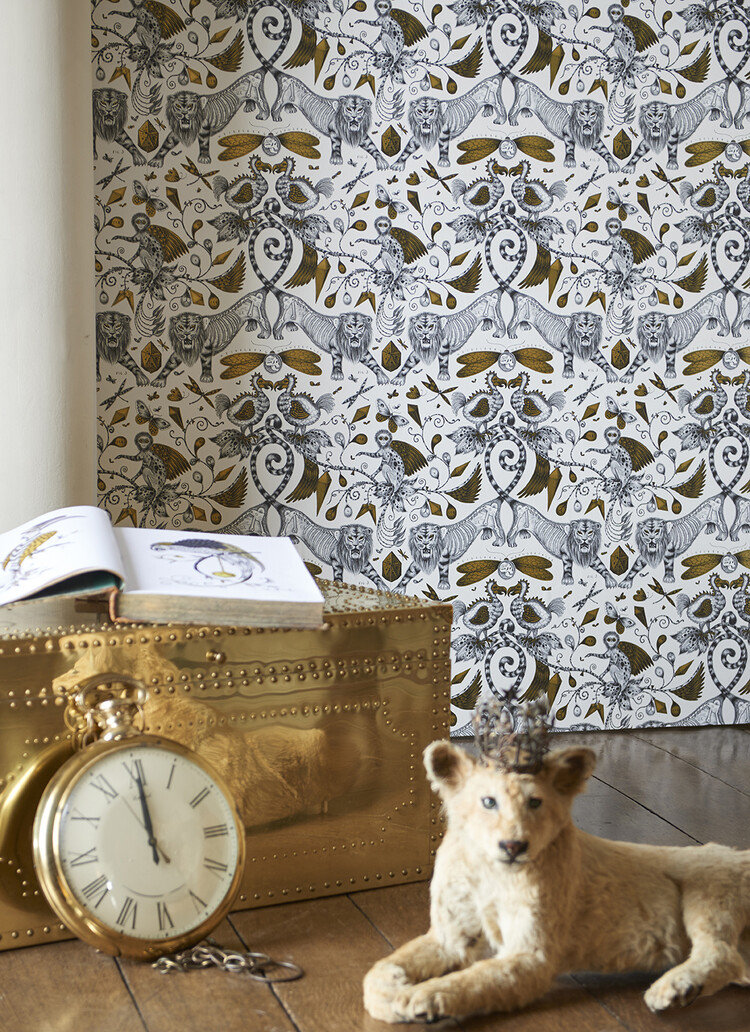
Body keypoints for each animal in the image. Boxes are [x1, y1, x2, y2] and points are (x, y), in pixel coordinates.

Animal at [363, 740, 750, 1023]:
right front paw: (395, 993)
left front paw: (425, 996)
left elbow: (476, 978)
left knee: (722, 954)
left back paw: (673, 990)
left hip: (707, 890)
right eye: (488, 802)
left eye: (535, 802)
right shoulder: (451, 938)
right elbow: (375, 976)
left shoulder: (532, 956)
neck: (490, 872)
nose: (514, 846)